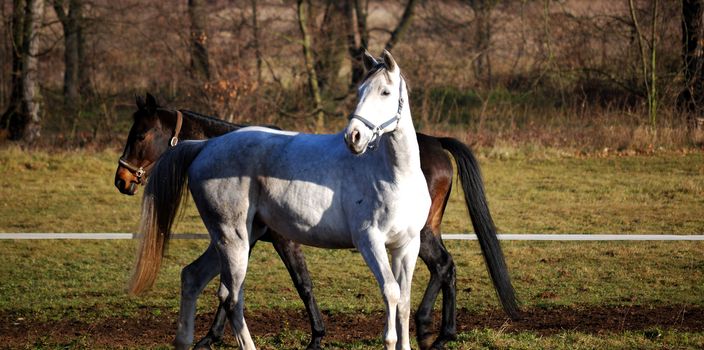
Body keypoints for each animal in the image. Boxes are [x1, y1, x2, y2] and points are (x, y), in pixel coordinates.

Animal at [118, 93, 520, 350]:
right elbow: (251, 289)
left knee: (444, 266)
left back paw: (434, 332)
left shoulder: (281, 241)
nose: (121, 180)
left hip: (418, 234)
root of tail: (435, 142)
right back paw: (432, 331)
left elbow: (302, 284)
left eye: (140, 134)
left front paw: (316, 337)